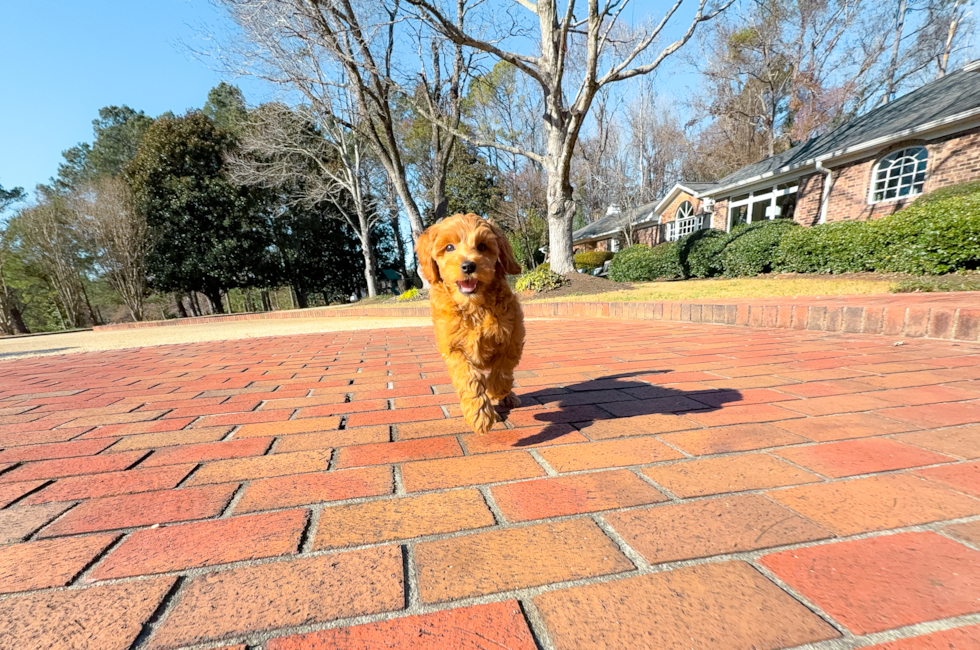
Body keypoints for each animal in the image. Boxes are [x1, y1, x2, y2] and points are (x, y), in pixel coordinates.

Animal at [416, 213, 524, 432]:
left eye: (482, 246)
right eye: (449, 247)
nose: (468, 266)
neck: (474, 308)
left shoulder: (513, 336)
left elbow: (503, 368)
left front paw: (496, 390)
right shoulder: (453, 348)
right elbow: (468, 377)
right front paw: (480, 415)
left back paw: (507, 396)